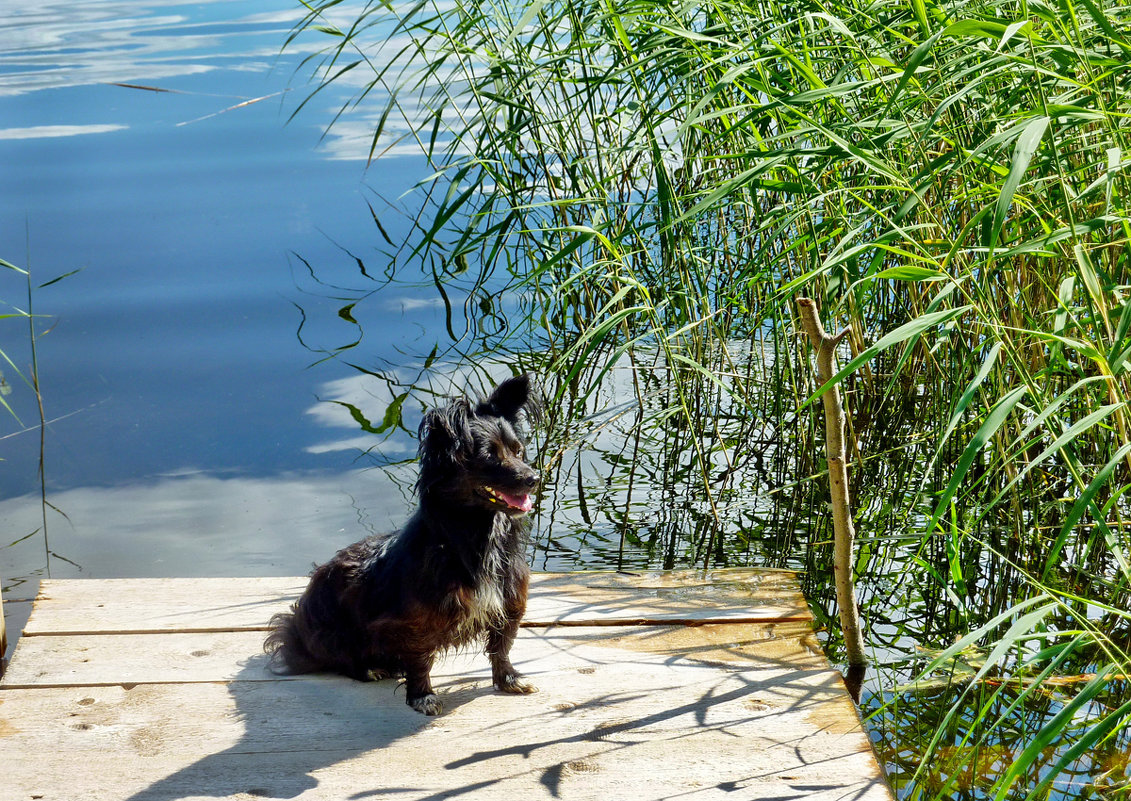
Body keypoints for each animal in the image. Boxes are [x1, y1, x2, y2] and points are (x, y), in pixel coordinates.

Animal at [269, 373, 542, 715]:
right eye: (490, 457)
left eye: (518, 451)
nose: (534, 478)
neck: (478, 535)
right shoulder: (414, 621)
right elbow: (421, 659)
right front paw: (422, 696)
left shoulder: (509, 602)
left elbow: (502, 645)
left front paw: (509, 680)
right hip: (333, 630)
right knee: (342, 658)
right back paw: (370, 668)